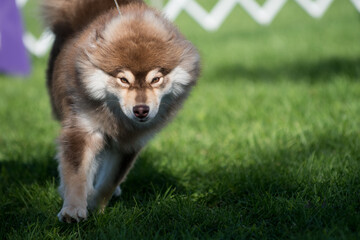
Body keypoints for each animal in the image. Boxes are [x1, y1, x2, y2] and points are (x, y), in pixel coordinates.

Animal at [43, 0, 200, 223]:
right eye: (123, 79)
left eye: (156, 79)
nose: (141, 110)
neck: (117, 117)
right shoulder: (83, 130)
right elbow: (77, 173)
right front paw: (73, 208)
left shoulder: (129, 143)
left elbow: (110, 181)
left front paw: (96, 207)